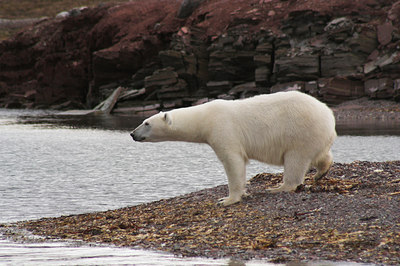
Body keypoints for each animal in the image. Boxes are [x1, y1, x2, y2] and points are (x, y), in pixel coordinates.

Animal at [130, 91, 336, 206]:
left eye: (146, 123)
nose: (132, 133)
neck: (204, 118)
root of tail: (328, 114)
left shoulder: (224, 129)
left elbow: (233, 161)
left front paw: (227, 200)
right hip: (315, 135)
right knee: (320, 155)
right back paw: (321, 173)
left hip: (300, 131)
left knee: (295, 160)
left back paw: (279, 187)